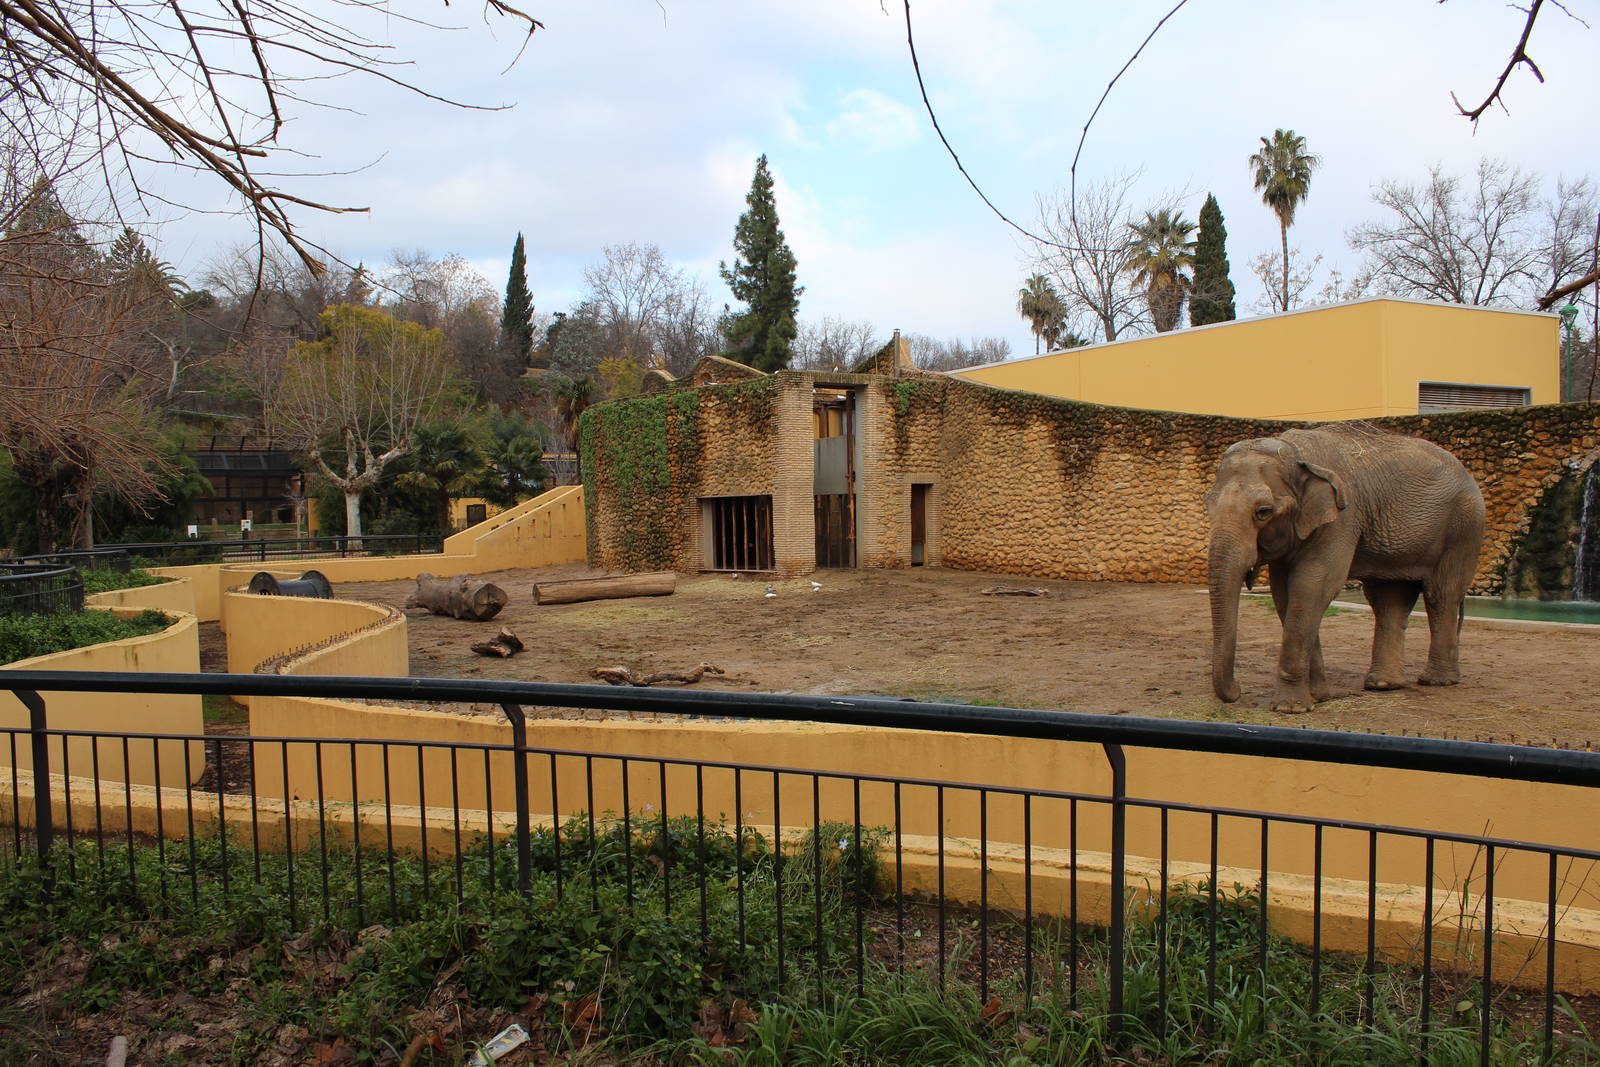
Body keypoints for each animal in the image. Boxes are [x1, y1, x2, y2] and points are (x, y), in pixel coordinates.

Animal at [1206, 423, 1484, 713]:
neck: (1296, 454)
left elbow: (1313, 585)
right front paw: (1319, 696)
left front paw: (1290, 708)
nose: (1238, 690)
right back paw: (1383, 684)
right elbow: (1285, 594)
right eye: (1208, 504)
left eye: (1263, 511)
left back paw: (1437, 681)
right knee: (1389, 600)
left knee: (1441, 595)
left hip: (1464, 527)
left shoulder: (1343, 517)